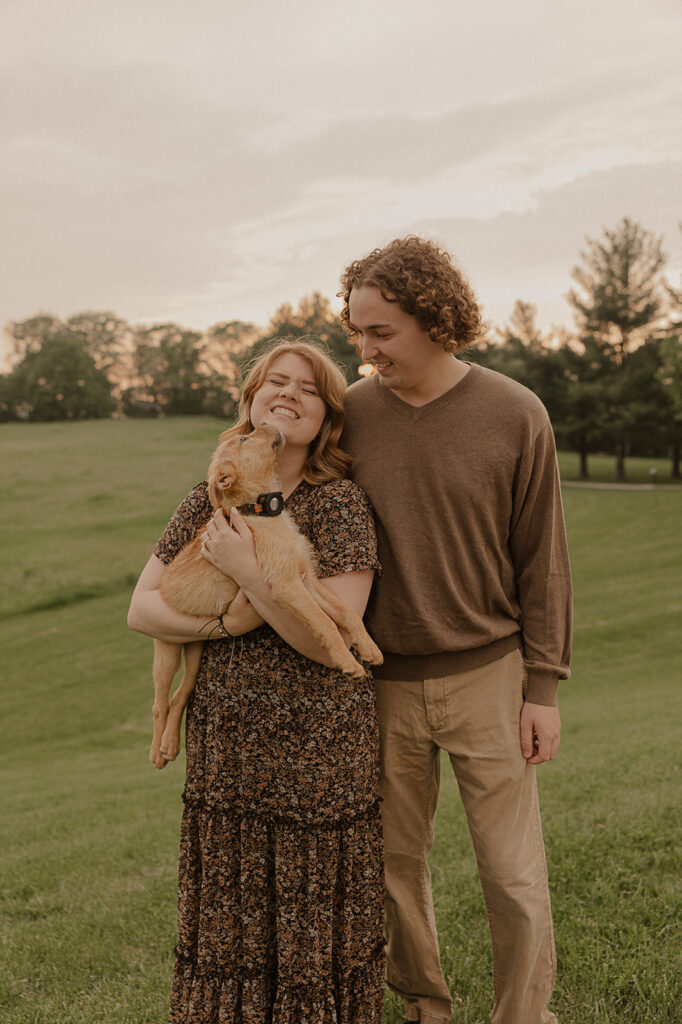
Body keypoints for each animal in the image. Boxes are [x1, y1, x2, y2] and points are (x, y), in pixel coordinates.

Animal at [150, 421, 382, 770]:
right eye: (245, 439)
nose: (267, 422)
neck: (260, 511)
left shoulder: (306, 580)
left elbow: (345, 612)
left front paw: (367, 648)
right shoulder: (285, 584)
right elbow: (325, 623)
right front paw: (347, 661)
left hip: (195, 649)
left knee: (180, 694)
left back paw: (169, 746)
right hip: (166, 650)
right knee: (159, 702)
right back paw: (156, 750)